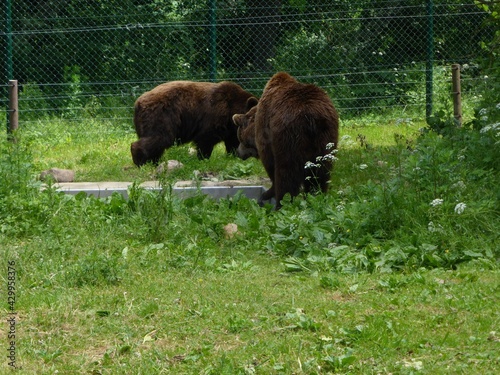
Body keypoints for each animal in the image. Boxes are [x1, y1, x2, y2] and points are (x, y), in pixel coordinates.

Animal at [232, 72, 338, 210]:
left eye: (239, 137)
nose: (238, 152)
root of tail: (311, 117)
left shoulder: (266, 132)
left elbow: (270, 164)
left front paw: (266, 193)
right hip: (326, 137)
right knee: (320, 173)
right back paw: (316, 199)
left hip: (289, 136)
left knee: (287, 173)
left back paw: (281, 204)